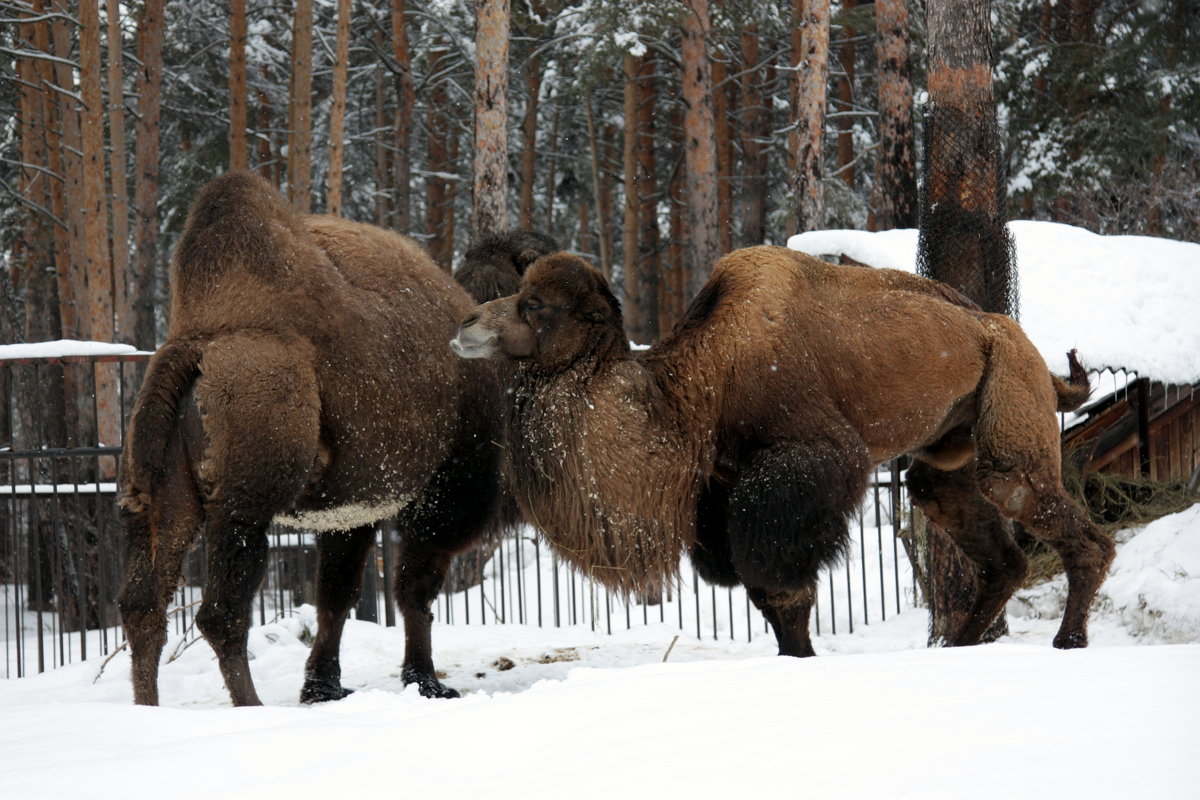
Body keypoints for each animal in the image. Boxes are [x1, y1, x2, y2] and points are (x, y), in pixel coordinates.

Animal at [117, 172, 540, 705]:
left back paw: (148, 707)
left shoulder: (352, 510)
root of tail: (195, 343)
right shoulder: (443, 495)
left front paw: (324, 687)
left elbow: (336, 597)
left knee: (143, 605)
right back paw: (250, 706)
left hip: (159, 494)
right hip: (243, 508)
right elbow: (414, 591)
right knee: (221, 612)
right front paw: (426, 682)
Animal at [451, 248, 1113, 657]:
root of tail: (1006, 335)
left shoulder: (805, 466)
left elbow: (781, 587)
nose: (466, 324)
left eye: (535, 305)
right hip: (950, 451)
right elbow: (763, 594)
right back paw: (963, 643)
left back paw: (1068, 641)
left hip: (1010, 412)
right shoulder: (721, 493)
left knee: (1055, 516)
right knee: (990, 544)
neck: (698, 383)